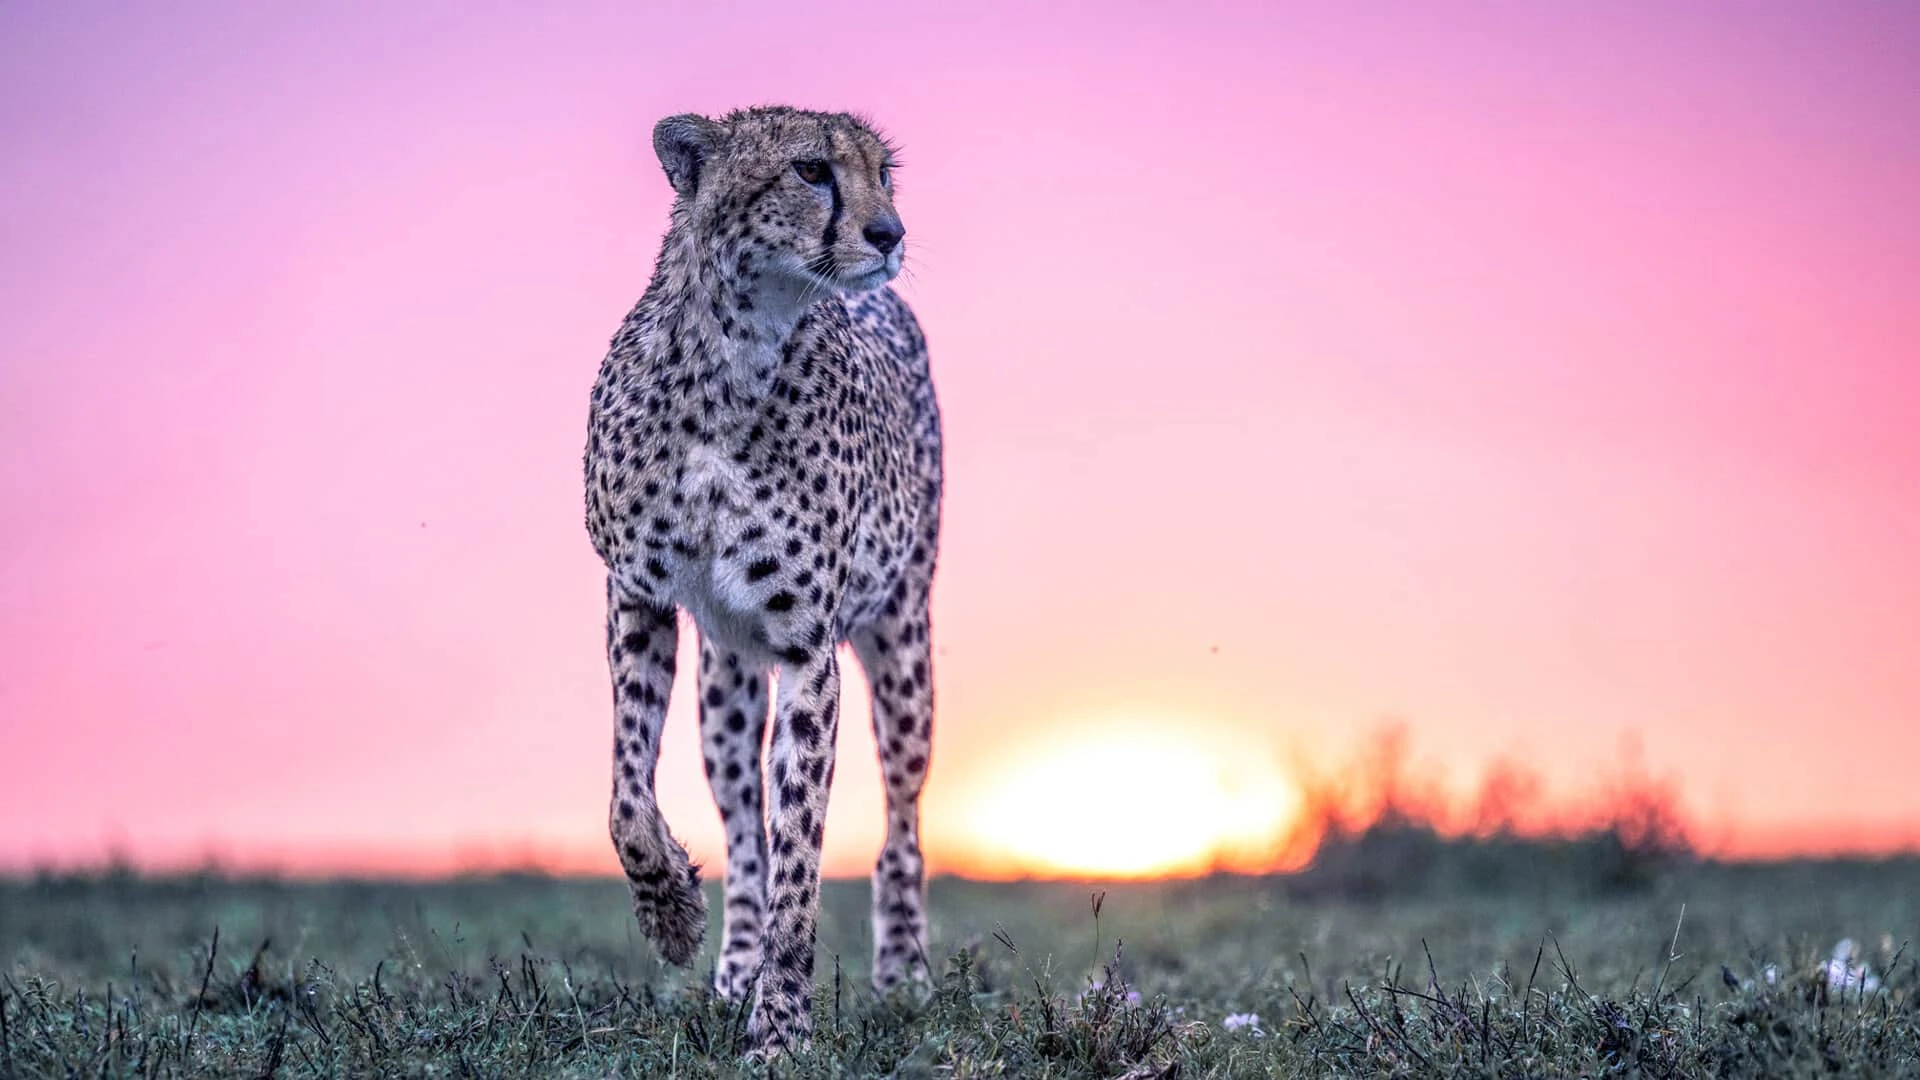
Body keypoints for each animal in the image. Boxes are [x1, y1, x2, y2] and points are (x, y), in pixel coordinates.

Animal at [582, 105, 941, 1054]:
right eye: (811, 169)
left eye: (883, 174)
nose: (890, 233)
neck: (734, 358)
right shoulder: (637, 595)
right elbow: (629, 797)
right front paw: (672, 914)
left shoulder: (807, 648)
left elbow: (802, 860)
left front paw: (780, 1027)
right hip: (726, 684)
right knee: (744, 832)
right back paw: (732, 965)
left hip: (904, 644)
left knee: (901, 823)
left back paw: (905, 971)